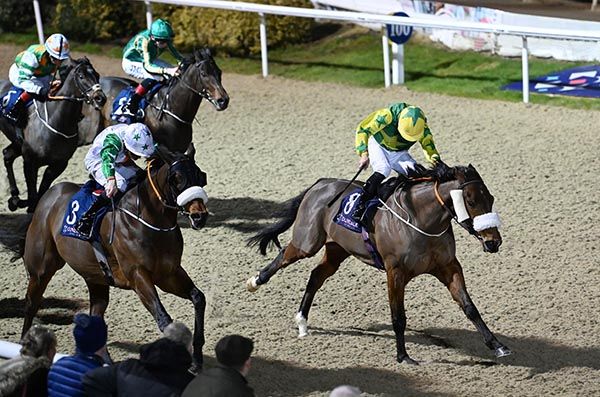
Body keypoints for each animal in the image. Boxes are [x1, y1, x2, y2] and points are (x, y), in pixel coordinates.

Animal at [0, 56, 106, 212]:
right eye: (81, 76)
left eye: (97, 75)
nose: (101, 98)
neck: (56, 120)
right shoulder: (30, 162)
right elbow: (33, 197)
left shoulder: (58, 165)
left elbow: (40, 195)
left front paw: (19, 202)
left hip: (18, 143)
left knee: (7, 154)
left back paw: (14, 195)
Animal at [22, 148, 211, 368]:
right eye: (176, 179)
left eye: (200, 176)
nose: (199, 216)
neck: (149, 219)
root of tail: (49, 195)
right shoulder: (138, 276)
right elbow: (164, 320)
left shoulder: (168, 274)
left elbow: (198, 298)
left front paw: (196, 360)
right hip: (41, 270)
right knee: (31, 304)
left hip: (96, 278)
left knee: (95, 316)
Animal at [247, 162, 510, 364]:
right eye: (471, 201)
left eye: (491, 198)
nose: (493, 242)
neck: (421, 220)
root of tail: (319, 184)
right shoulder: (396, 273)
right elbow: (398, 317)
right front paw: (403, 356)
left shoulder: (449, 267)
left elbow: (470, 307)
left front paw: (497, 345)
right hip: (307, 242)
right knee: (284, 256)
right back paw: (254, 282)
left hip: (337, 249)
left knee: (316, 275)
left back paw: (302, 322)